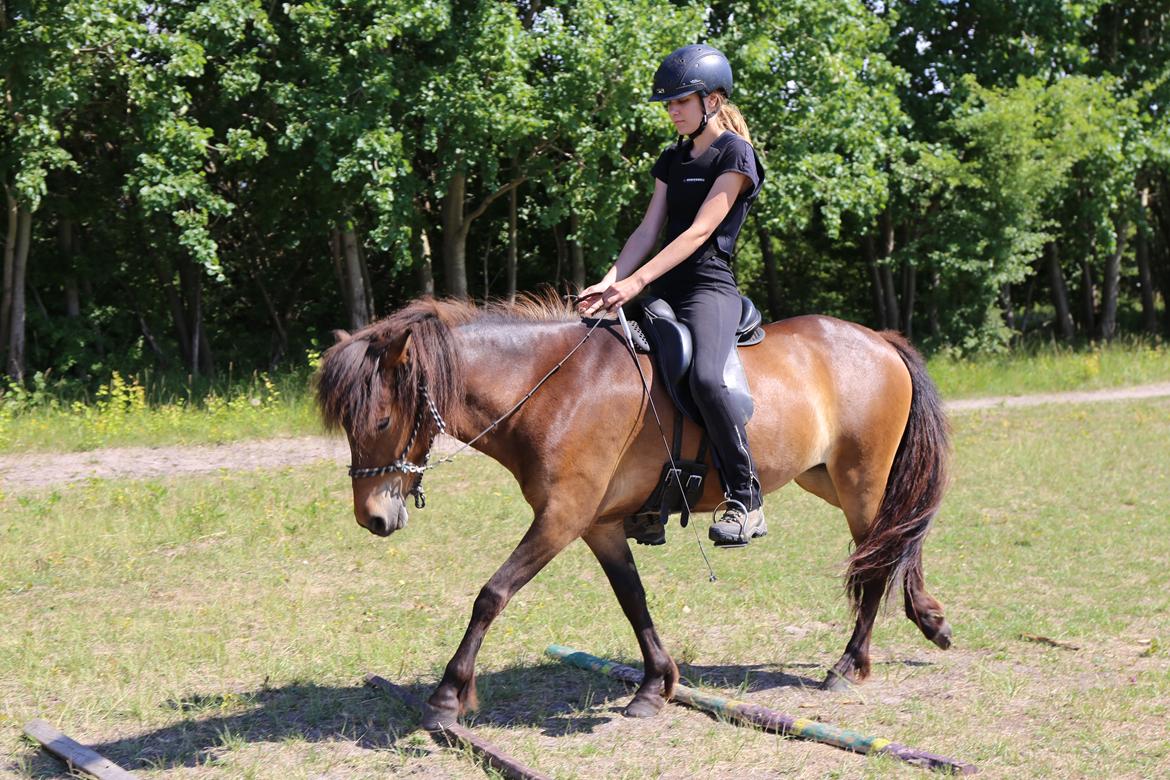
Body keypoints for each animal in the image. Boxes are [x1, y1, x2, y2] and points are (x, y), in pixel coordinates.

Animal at [318, 294, 950, 734]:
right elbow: (633, 599)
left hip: (860, 480)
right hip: (827, 479)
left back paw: (849, 665)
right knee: (896, 543)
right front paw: (655, 685)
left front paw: (447, 698)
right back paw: (929, 619)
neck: (552, 387)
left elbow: (491, 595)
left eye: (380, 420)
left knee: (877, 561)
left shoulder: (562, 517)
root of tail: (879, 340)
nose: (372, 518)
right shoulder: (596, 525)